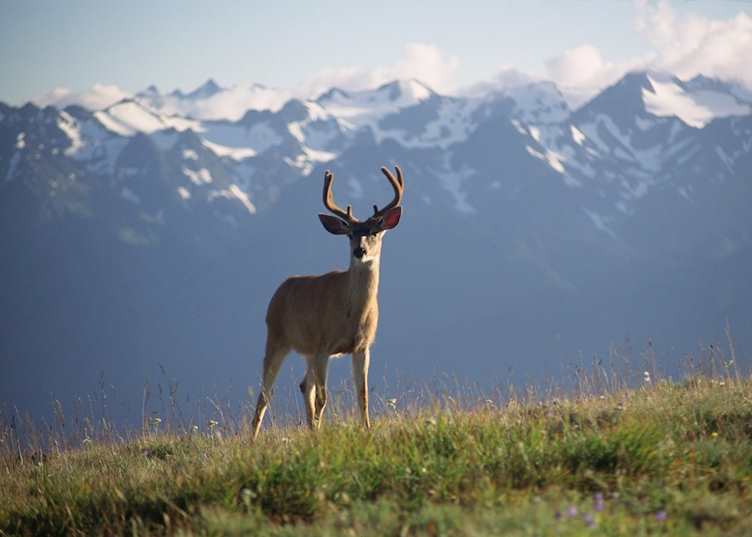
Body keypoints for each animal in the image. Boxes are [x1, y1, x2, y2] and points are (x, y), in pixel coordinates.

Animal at [251, 165, 405, 440]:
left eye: (374, 232)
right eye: (350, 234)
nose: (359, 251)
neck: (352, 314)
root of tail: (280, 289)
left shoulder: (362, 347)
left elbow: (363, 395)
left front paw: (366, 430)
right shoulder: (324, 345)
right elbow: (324, 398)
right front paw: (321, 431)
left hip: (308, 351)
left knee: (304, 385)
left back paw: (311, 429)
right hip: (277, 337)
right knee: (265, 394)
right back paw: (252, 439)